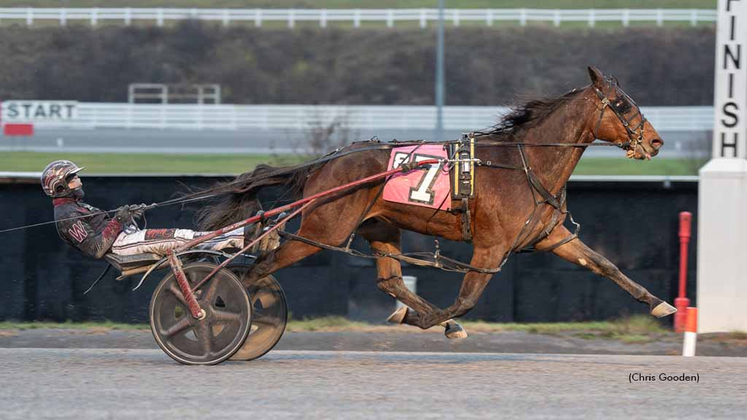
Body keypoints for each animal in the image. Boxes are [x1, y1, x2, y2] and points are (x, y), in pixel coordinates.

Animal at [199, 68, 676, 338]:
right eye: (622, 104)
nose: (655, 141)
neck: (524, 163)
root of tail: (325, 163)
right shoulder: (490, 247)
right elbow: (466, 300)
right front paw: (426, 321)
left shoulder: (550, 236)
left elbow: (605, 264)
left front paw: (660, 303)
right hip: (324, 230)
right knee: (258, 267)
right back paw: (216, 313)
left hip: (379, 227)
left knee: (390, 281)